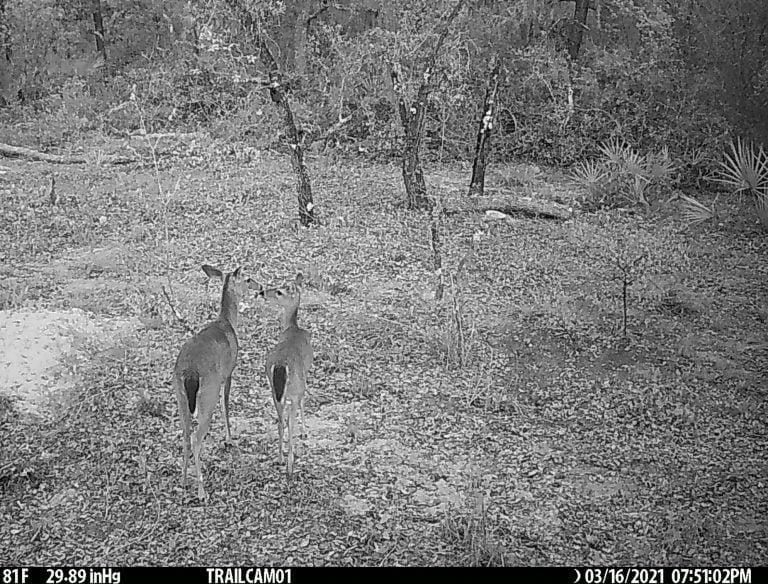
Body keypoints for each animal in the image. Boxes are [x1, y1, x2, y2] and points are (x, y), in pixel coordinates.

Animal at [172, 264, 259, 500]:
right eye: (248, 279)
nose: (260, 287)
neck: (227, 322)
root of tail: (190, 372)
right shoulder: (228, 373)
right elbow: (226, 404)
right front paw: (229, 439)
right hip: (207, 395)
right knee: (196, 438)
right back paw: (202, 491)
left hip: (181, 397)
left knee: (185, 435)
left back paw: (184, 481)